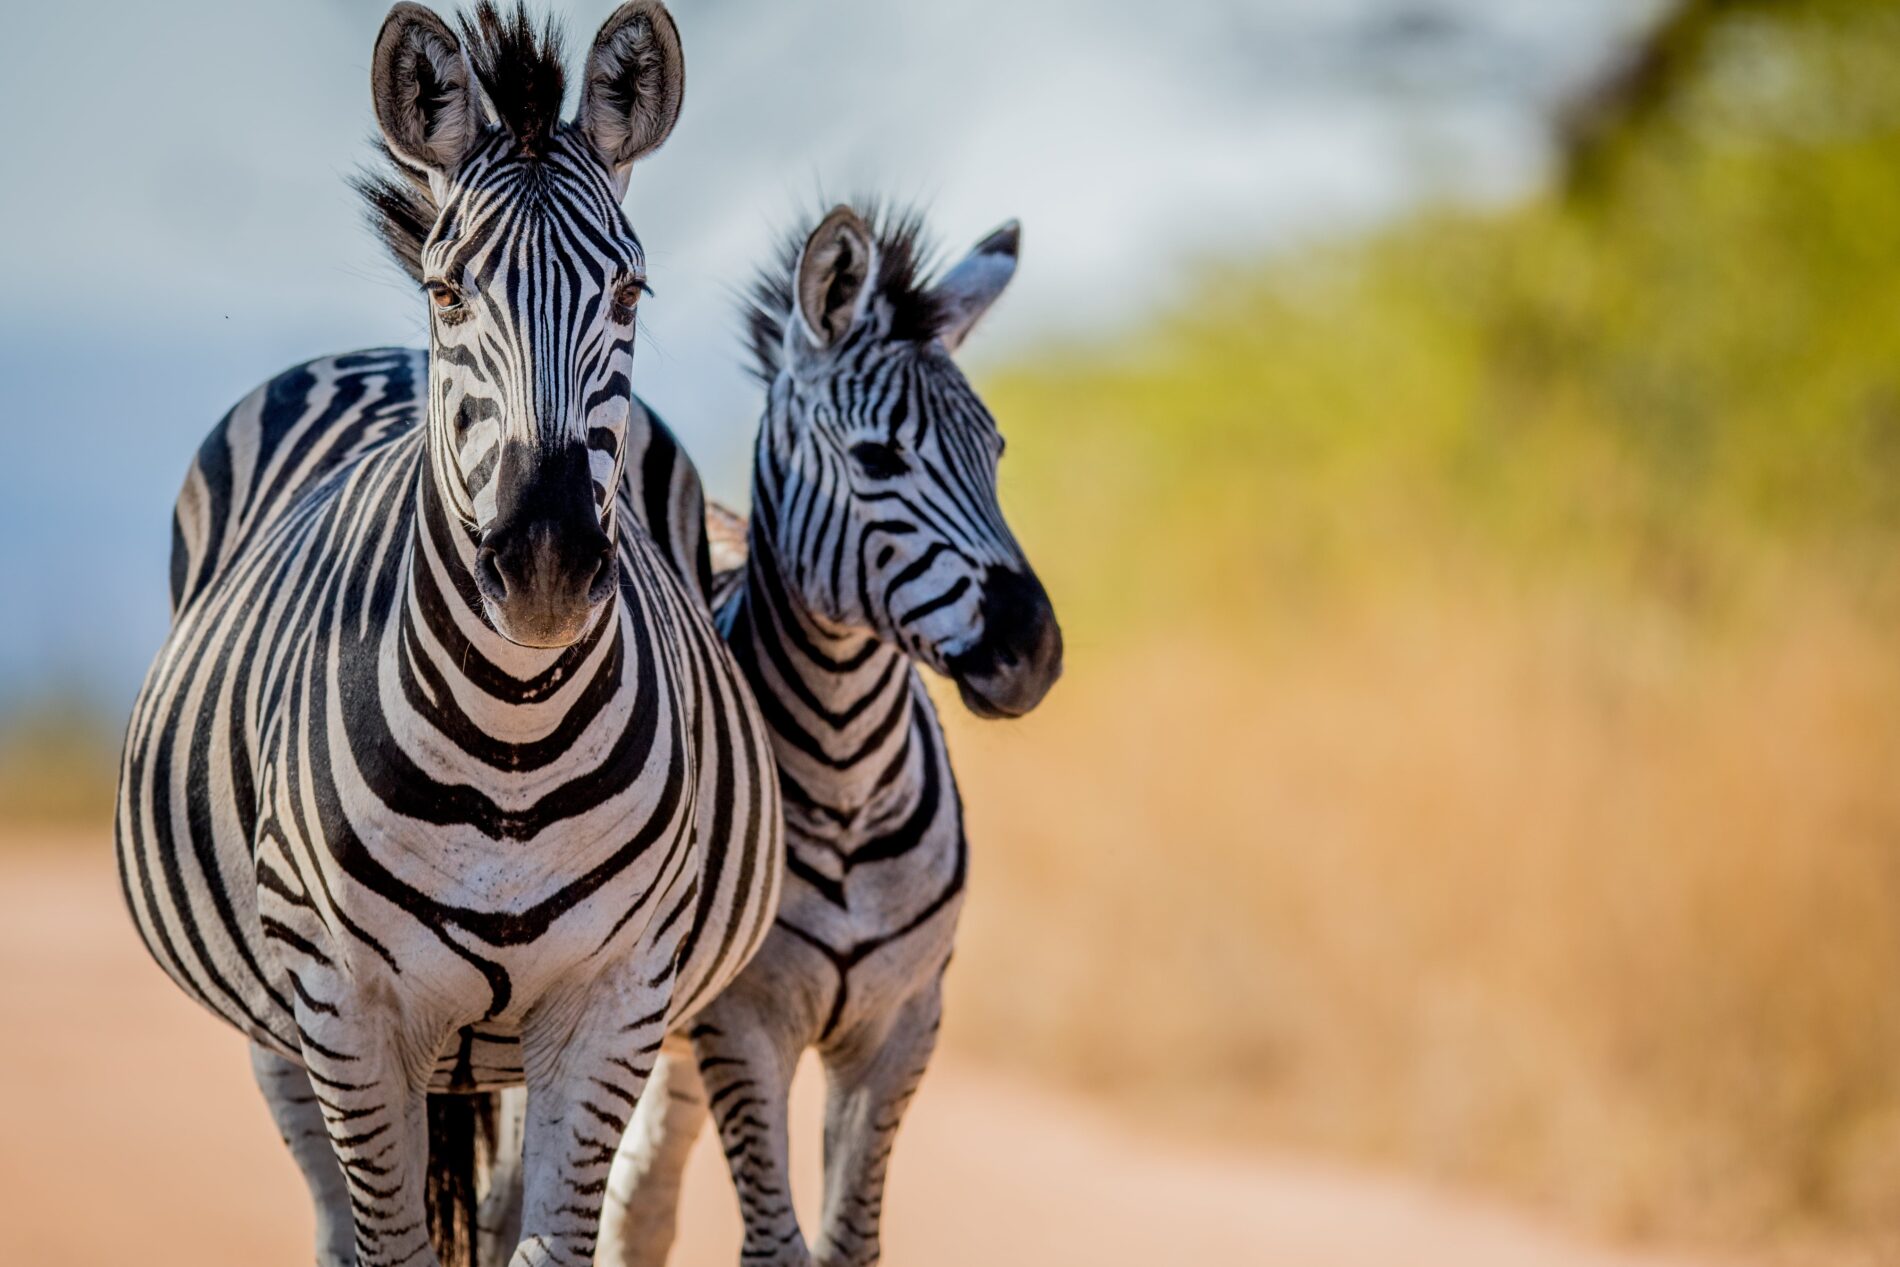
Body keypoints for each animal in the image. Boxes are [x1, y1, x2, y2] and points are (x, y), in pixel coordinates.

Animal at [114, 7, 783, 1267]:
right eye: (448, 291)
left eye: (630, 292)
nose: (545, 567)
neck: (511, 733)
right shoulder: (343, 1006)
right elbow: (391, 1242)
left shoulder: (615, 997)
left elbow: (551, 1241)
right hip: (277, 1030)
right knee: (335, 1220)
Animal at [581, 202, 1063, 1267]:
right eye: (878, 459)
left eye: (998, 452)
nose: (1034, 651)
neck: (846, 778)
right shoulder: (743, 1025)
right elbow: (776, 1246)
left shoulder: (901, 1026)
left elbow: (851, 1242)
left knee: (639, 1204)